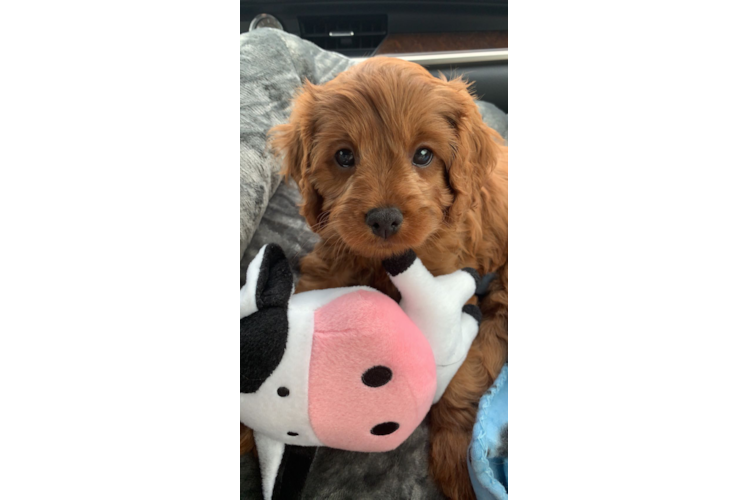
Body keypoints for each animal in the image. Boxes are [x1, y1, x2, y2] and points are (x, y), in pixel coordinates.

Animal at [243, 56, 512, 498]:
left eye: (424, 154)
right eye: (344, 156)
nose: (385, 219)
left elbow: (461, 377)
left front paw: (459, 464)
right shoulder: (331, 259)